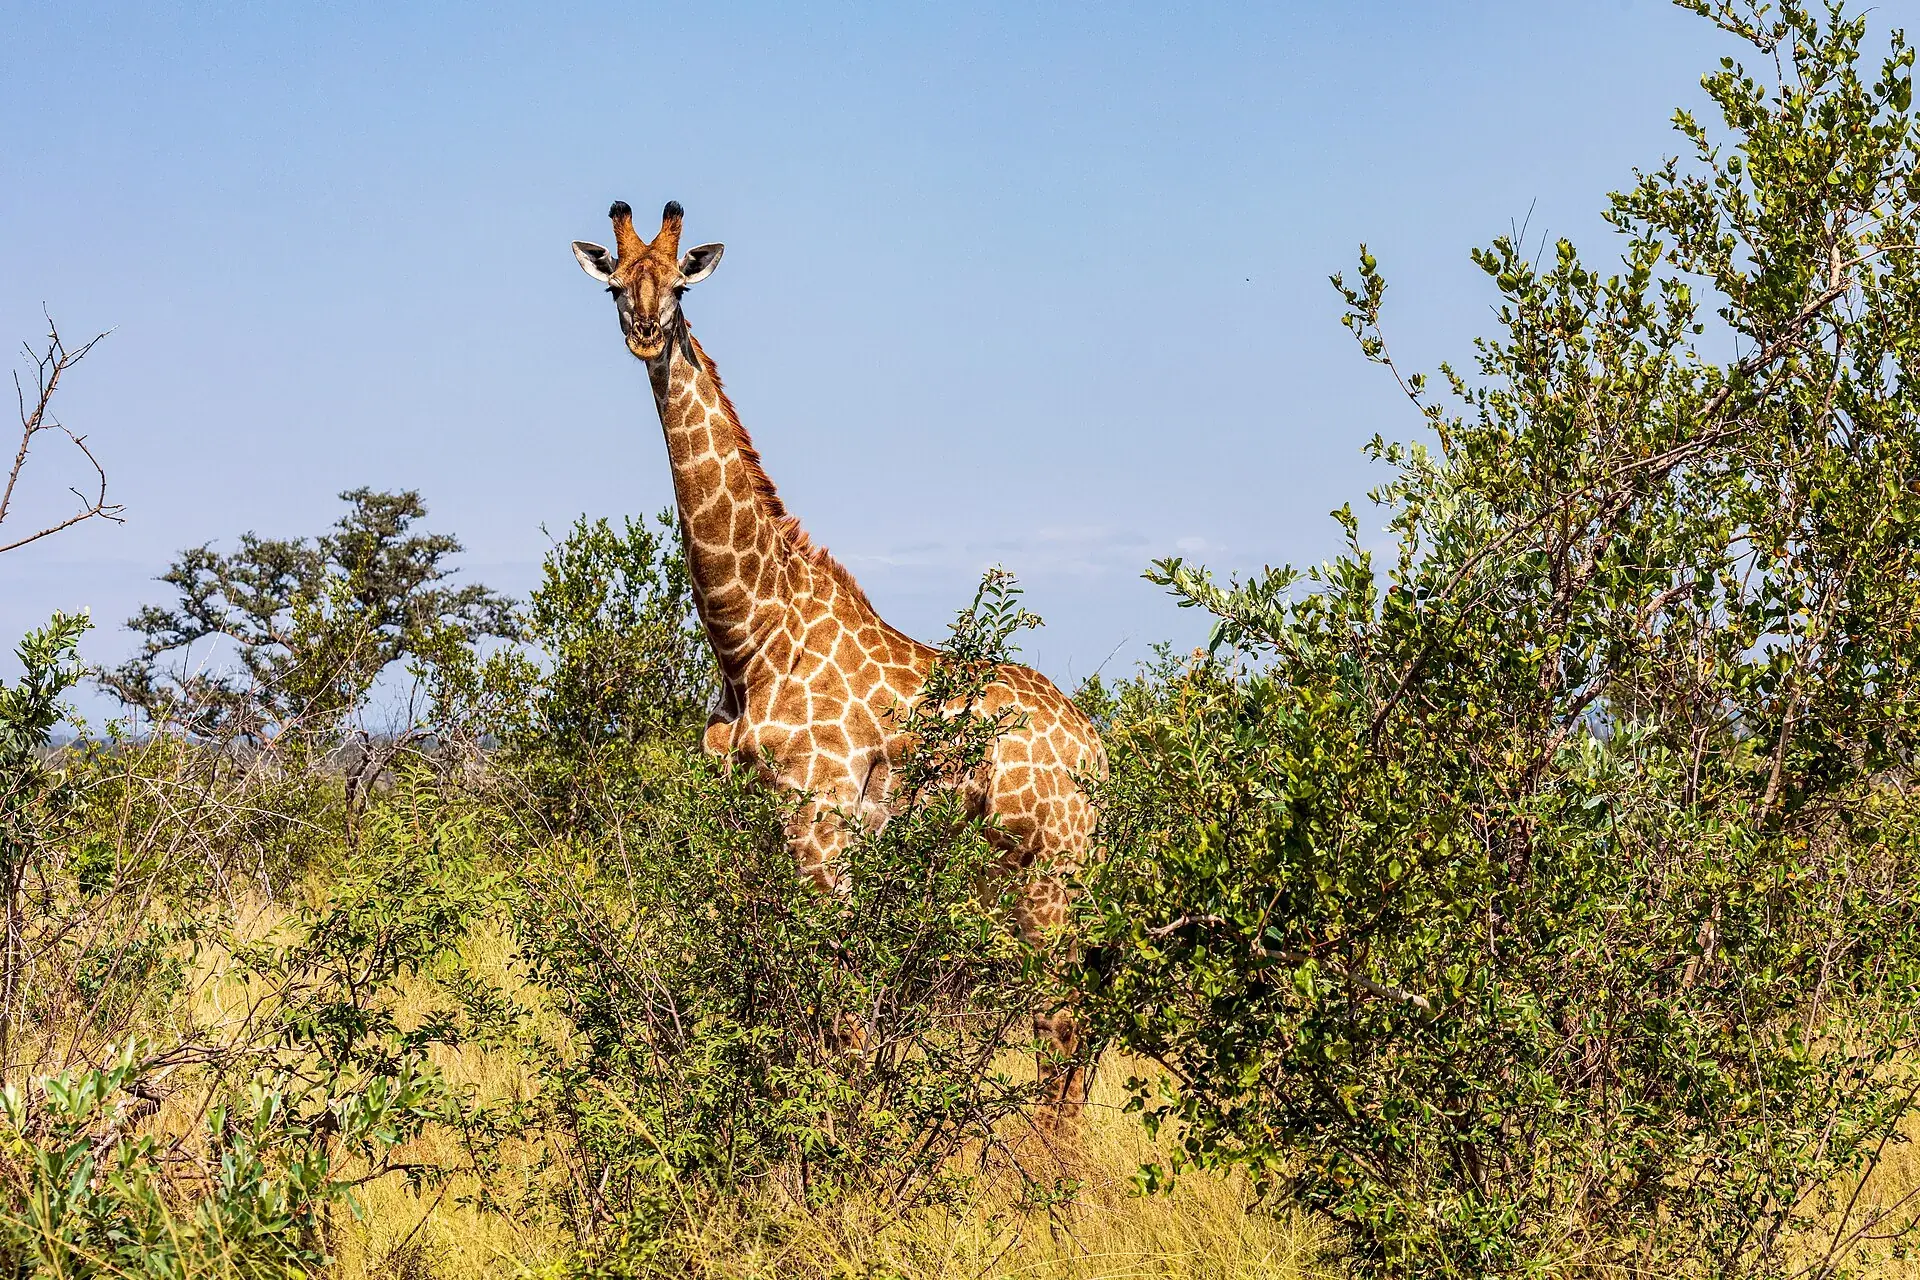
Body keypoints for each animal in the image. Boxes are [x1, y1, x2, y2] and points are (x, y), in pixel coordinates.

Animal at [571, 200, 1104, 1125]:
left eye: (679, 286)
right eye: (614, 283)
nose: (645, 332)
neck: (749, 637)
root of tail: (1101, 749)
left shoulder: (823, 826)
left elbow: (843, 1016)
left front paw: (842, 1144)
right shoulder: (754, 825)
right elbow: (775, 1001)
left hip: (1054, 871)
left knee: (1061, 1024)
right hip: (1018, 873)